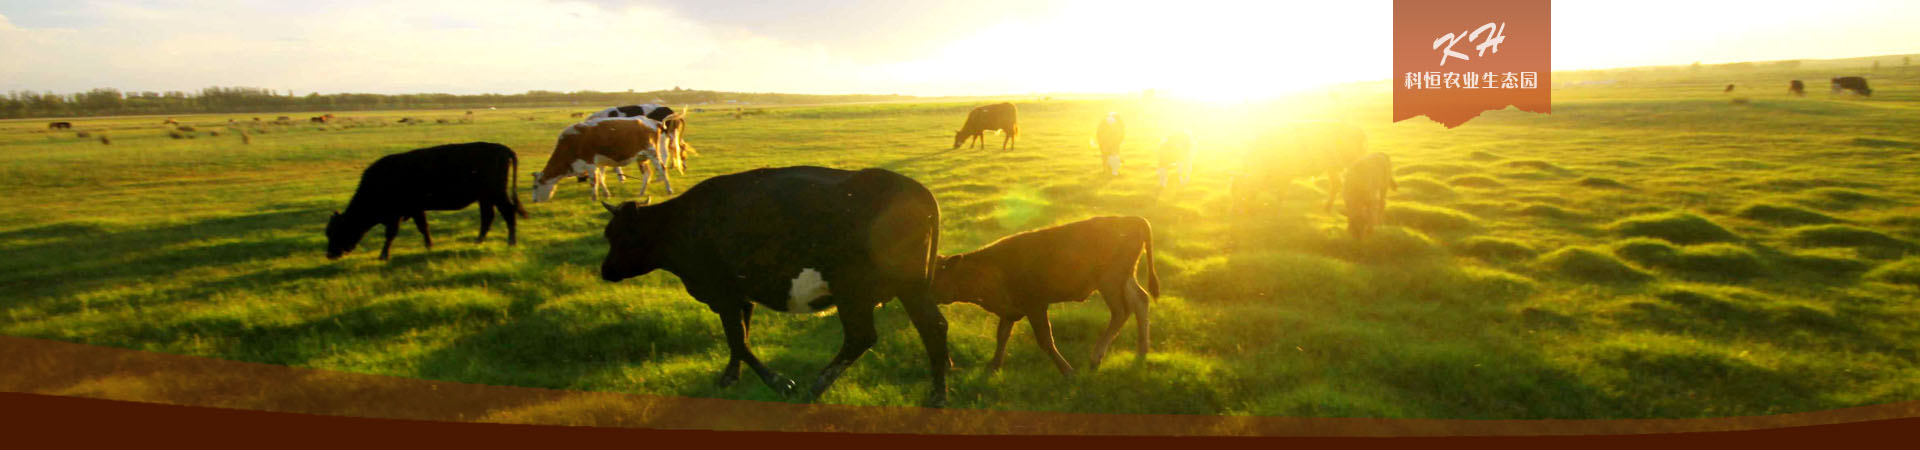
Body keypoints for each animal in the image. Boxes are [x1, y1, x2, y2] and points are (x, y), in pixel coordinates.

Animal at [326, 140, 526, 259]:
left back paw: (511, 242)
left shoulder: (397, 215)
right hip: (485, 197)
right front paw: (429, 245)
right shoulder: (416, 210)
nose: (330, 254)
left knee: (508, 212)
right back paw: (478, 241)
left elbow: (391, 234)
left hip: (496, 194)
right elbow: (423, 227)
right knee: (488, 217)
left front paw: (383, 255)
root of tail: (502, 148)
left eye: (338, 231)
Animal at [529, 115, 672, 201]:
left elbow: (594, 181)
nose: (534, 200)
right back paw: (641, 193)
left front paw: (593, 198)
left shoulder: (590, 163)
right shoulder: (599, 164)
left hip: (652, 153)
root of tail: (653, 121)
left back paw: (669, 190)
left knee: (662, 169)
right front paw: (606, 194)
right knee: (647, 174)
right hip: (641, 157)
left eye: (535, 186)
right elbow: (601, 179)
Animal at [599, 165, 952, 407]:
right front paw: (730, 376)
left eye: (616, 236)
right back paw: (939, 388)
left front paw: (779, 382)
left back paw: (818, 386)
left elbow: (737, 340)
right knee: (933, 327)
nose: (605, 270)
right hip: (911, 288)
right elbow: (740, 338)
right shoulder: (741, 297)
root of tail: (915, 189)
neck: (681, 225)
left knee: (863, 336)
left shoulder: (723, 294)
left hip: (857, 291)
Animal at [929, 216, 1152, 375]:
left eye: (934, 275)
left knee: (1121, 312)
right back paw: (1142, 352)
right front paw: (993, 366)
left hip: (1110, 281)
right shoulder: (1009, 310)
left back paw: (1095, 357)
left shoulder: (1036, 306)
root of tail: (1132, 219)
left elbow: (1044, 340)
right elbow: (1002, 336)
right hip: (1125, 278)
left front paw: (1067, 371)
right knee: (1141, 300)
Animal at [1228, 121, 1367, 214]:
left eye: (1240, 192)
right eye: (1232, 192)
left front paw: (1277, 212)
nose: (1234, 211)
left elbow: (1281, 193)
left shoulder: (1285, 175)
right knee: (1336, 184)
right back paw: (1327, 208)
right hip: (1332, 168)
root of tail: (1357, 129)